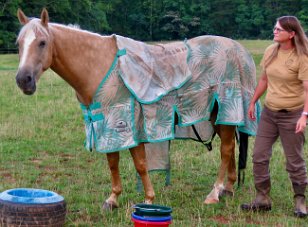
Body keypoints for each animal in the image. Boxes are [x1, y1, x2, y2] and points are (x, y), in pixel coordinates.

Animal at [15, 9, 258, 211]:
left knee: (225, 150)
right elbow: (113, 163)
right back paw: (227, 189)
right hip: (219, 115)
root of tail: (239, 50)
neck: (98, 66)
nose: (23, 80)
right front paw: (113, 199)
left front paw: (149, 199)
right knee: (229, 149)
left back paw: (214, 193)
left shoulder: (128, 123)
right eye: (18, 43)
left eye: (42, 42)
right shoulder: (106, 125)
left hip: (227, 108)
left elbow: (140, 164)